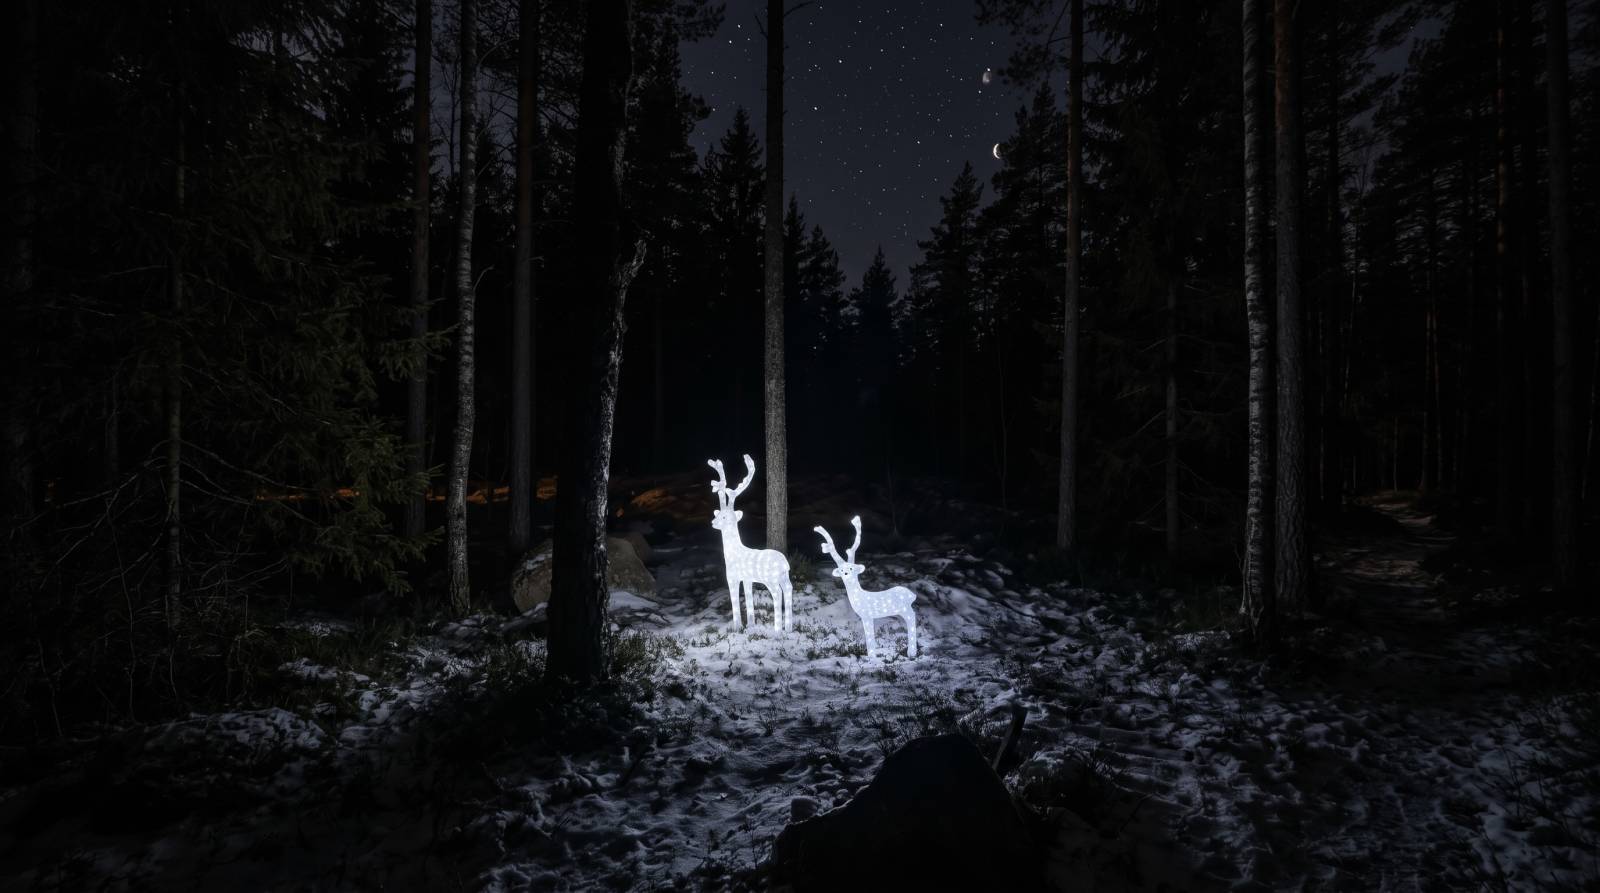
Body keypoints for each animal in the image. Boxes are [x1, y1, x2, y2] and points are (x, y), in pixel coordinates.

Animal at [707, 454, 793, 631]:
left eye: (725, 517)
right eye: (717, 514)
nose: (713, 522)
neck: (733, 552)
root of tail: (784, 564)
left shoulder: (732, 576)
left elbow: (735, 601)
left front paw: (737, 627)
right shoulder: (747, 579)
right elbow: (748, 599)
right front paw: (751, 626)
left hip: (771, 579)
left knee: (778, 594)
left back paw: (777, 631)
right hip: (784, 577)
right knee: (789, 590)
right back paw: (788, 629)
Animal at [815, 516, 918, 659]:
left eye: (851, 568)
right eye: (841, 570)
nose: (845, 573)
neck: (860, 596)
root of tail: (912, 595)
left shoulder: (867, 615)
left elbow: (869, 635)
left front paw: (872, 657)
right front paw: (871, 655)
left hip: (904, 609)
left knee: (912, 619)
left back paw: (911, 653)